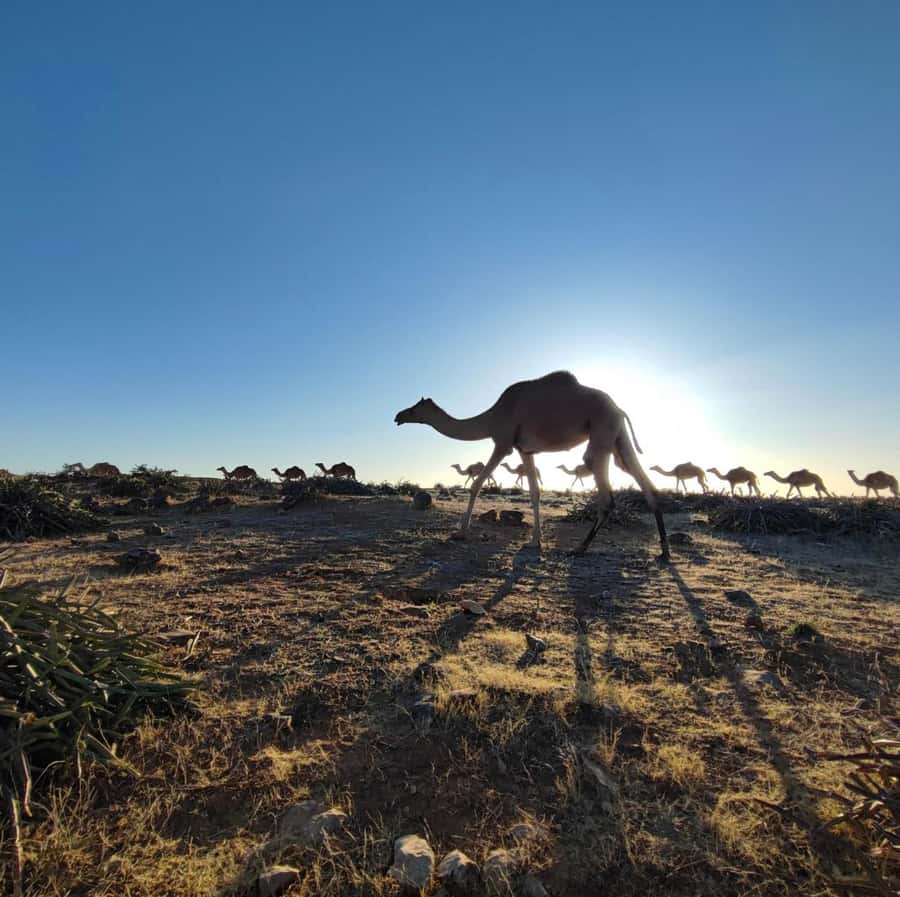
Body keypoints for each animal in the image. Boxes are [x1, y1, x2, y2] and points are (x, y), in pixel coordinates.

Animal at [395, 370, 669, 560]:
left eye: (416, 408)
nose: (398, 415)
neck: (492, 416)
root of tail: (620, 409)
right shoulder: (525, 449)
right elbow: (535, 492)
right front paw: (534, 541)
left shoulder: (503, 443)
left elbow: (477, 484)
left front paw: (460, 533)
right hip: (617, 436)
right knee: (642, 480)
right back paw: (664, 552)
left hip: (602, 431)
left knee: (606, 495)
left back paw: (580, 548)